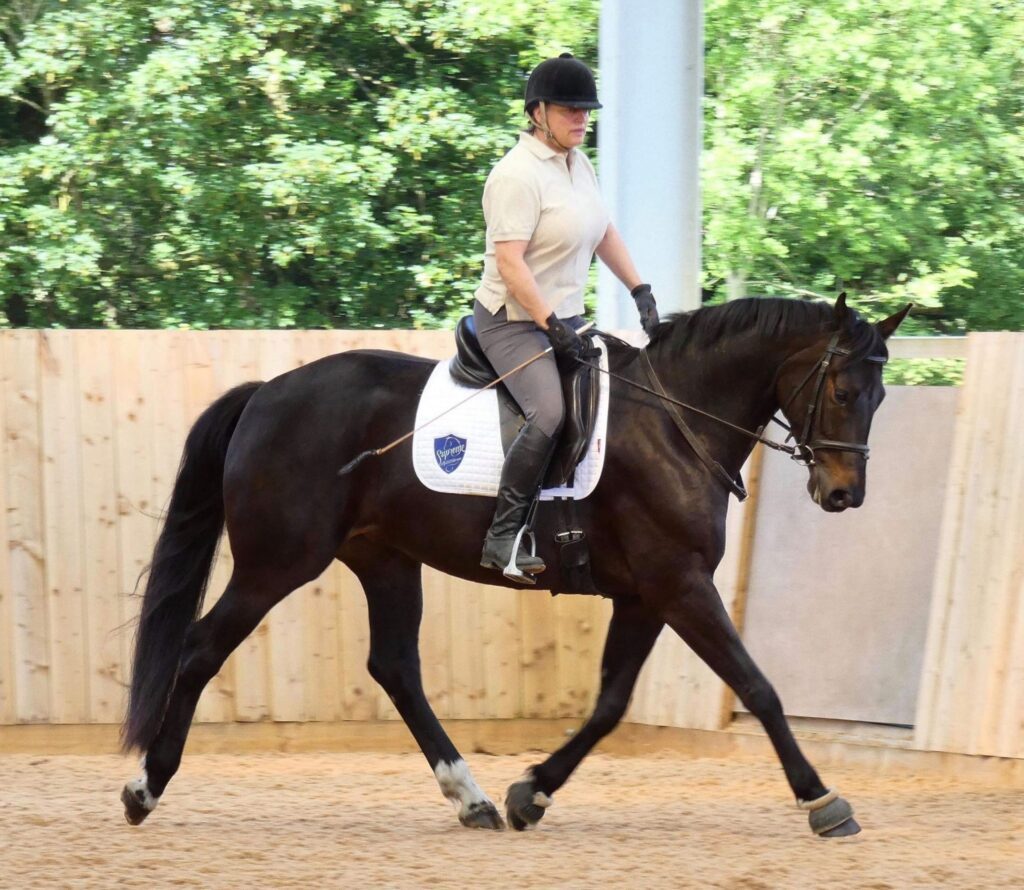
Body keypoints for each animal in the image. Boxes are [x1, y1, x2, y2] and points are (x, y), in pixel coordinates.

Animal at [119, 290, 913, 831]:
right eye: (844, 391)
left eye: (880, 398)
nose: (843, 494)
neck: (675, 419)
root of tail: (267, 394)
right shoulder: (679, 584)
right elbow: (758, 687)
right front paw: (822, 798)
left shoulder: (646, 594)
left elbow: (611, 703)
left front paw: (532, 791)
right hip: (278, 563)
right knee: (200, 648)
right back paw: (145, 787)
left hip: (384, 559)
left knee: (395, 668)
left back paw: (471, 799)